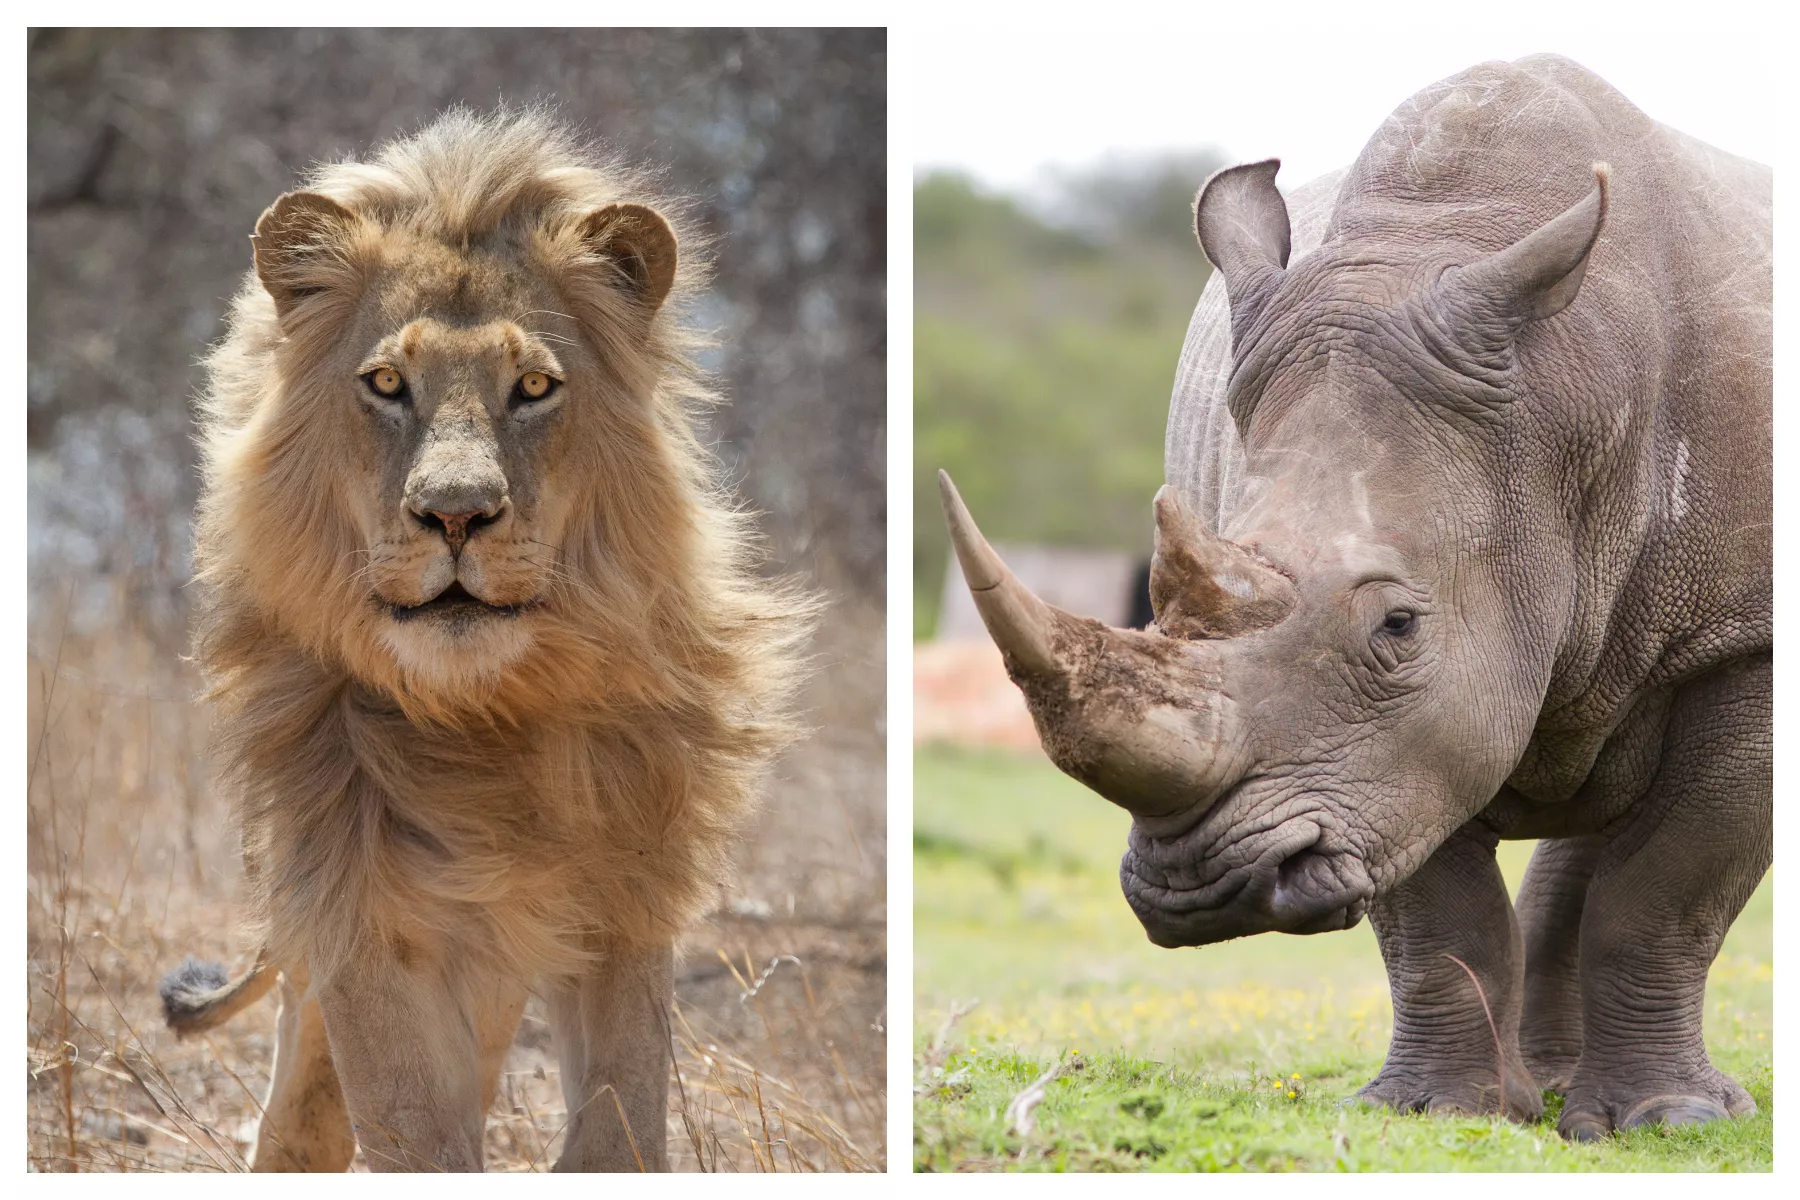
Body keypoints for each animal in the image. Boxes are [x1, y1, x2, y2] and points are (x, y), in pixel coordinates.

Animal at [157, 109, 813, 1172]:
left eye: (535, 386)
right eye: (387, 382)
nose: (456, 514)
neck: (489, 716)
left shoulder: (624, 897)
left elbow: (623, 1123)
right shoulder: (361, 913)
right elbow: (417, 1133)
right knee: (300, 1123)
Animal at [938, 54, 1770, 1140]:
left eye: (1399, 624)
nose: (1201, 888)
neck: (1563, 405)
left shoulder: (1747, 637)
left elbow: (1669, 888)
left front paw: (1674, 1121)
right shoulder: (1375, 756)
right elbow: (1436, 912)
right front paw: (1436, 1114)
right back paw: (1546, 1088)